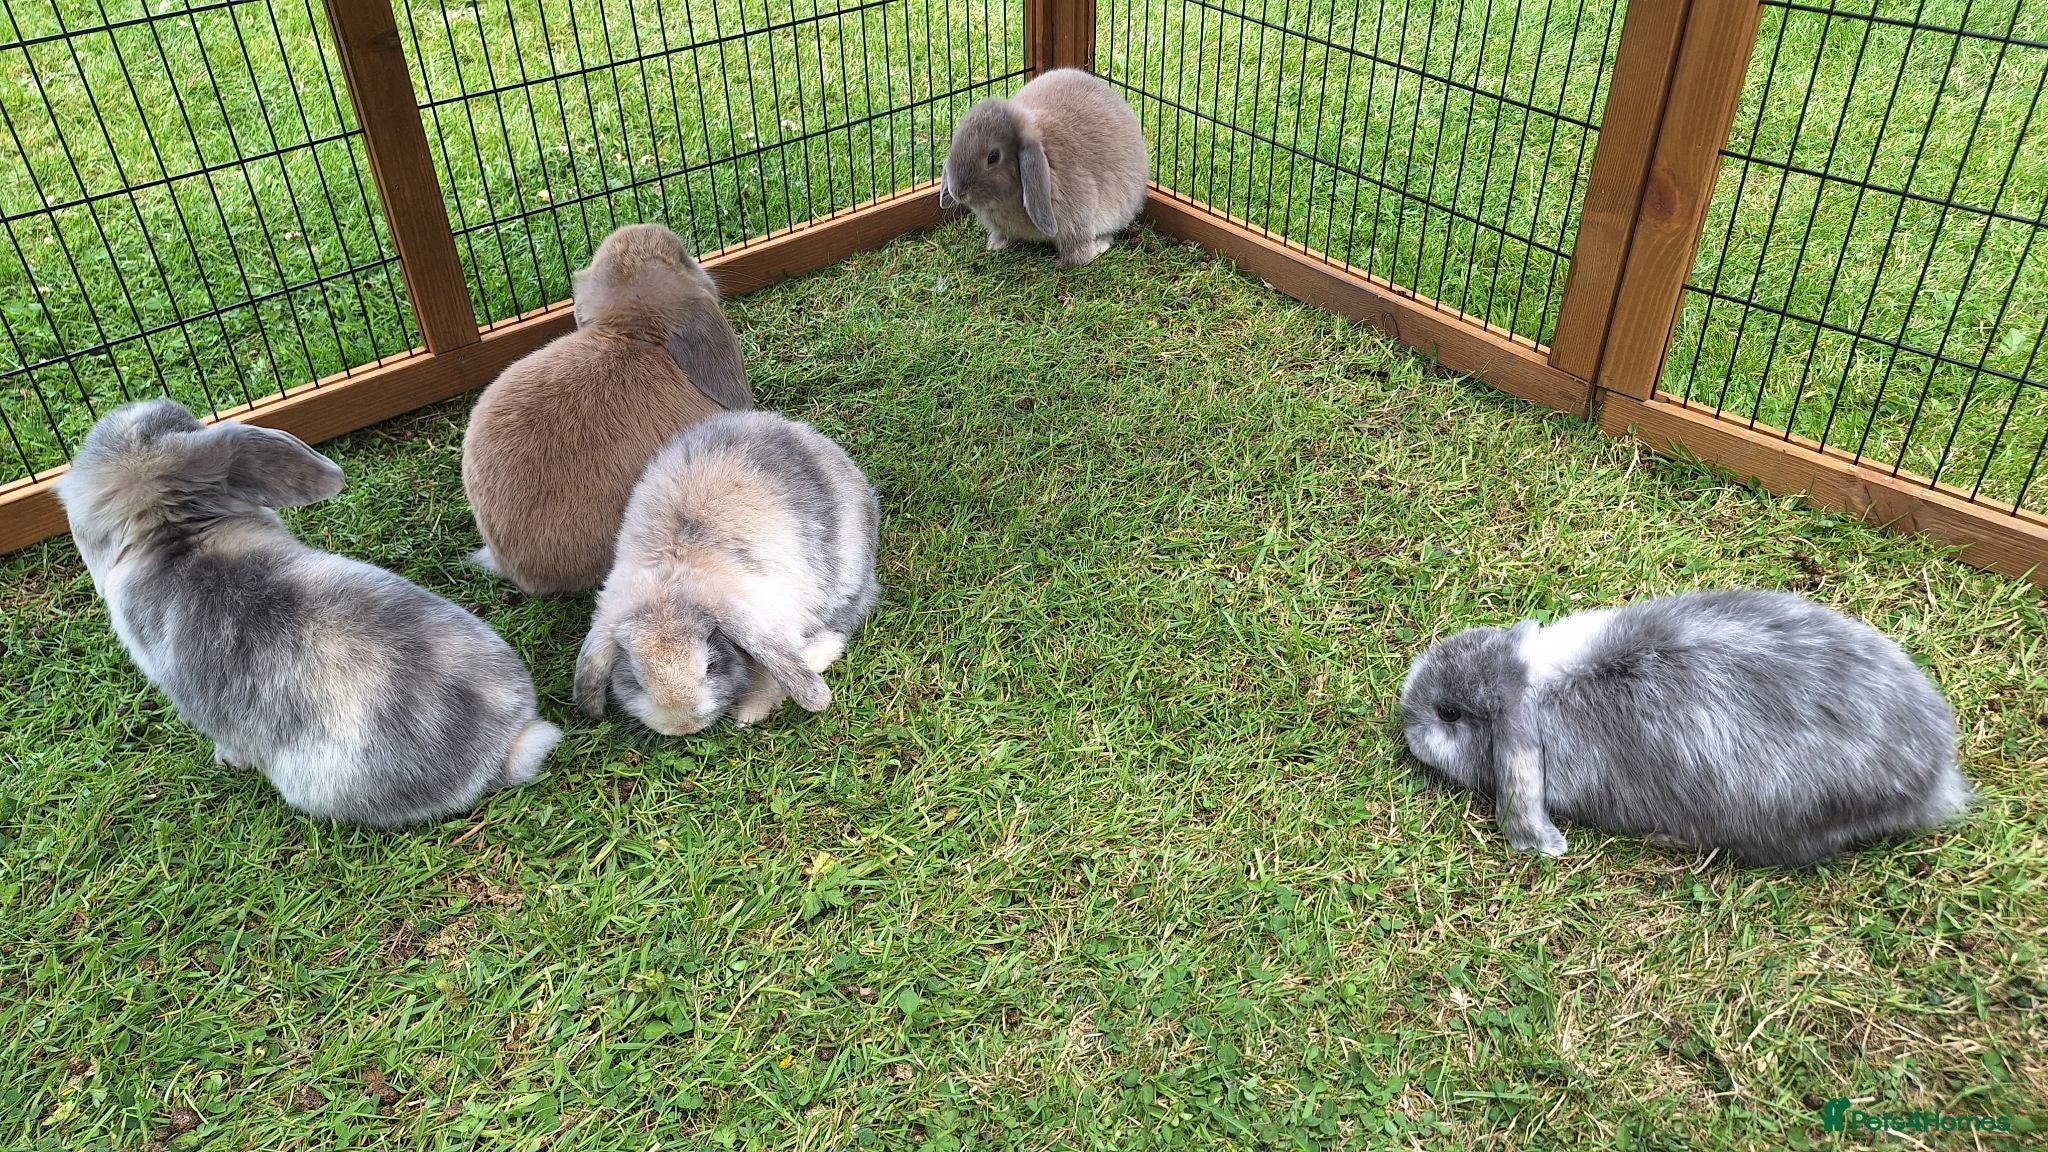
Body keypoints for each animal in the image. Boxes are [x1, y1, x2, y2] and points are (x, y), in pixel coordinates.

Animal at [575, 410, 880, 735]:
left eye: (710, 666)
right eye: (635, 679)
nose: (684, 727)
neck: (671, 581)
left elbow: (771, 675)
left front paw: (749, 715)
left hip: (843, 577)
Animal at [938, 67, 1148, 268]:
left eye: (993, 157)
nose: (958, 192)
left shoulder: (1077, 223)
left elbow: (1076, 258)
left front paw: (1101, 245)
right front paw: (995, 245)